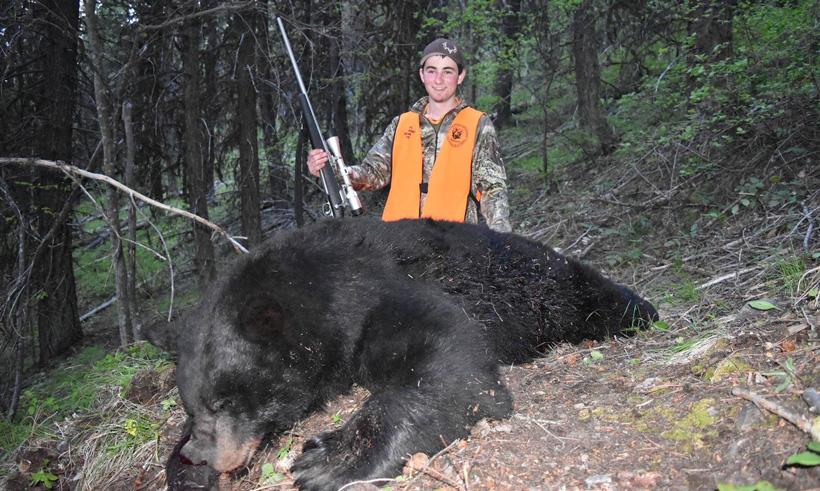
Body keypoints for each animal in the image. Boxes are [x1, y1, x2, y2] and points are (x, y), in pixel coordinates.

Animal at [145, 217, 658, 491]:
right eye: (192, 405)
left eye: (225, 400)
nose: (200, 454)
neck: (321, 290)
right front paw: (183, 469)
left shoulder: (380, 292)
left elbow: (449, 358)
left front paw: (331, 459)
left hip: (554, 285)